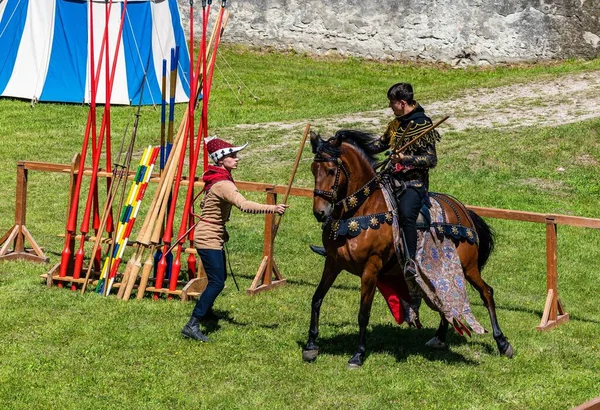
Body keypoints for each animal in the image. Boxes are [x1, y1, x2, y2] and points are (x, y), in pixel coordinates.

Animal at [302, 131, 512, 368]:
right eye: (313, 169)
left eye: (330, 170)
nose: (320, 212)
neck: (360, 211)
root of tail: (464, 210)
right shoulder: (332, 263)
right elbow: (316, 299)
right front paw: (311, 346)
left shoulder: (371, 268)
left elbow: (363, 313)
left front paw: (358, 355)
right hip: (436, 272)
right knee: (444, 301)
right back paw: (439, 338)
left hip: (468, 267)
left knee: (486, 293)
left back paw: (503, 343)